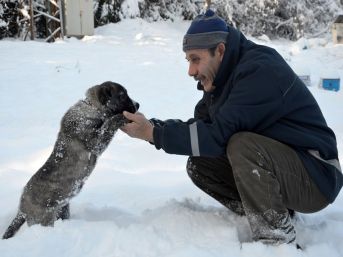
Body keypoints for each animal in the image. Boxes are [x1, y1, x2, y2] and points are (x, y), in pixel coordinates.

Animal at [2, 80, 140, 238]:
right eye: (122, 95)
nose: (138, 105)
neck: (92, 106)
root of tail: (21, 210)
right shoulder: (95, 142)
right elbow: (109, 123)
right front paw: (122, 117)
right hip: (45, 219)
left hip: (63, 209)